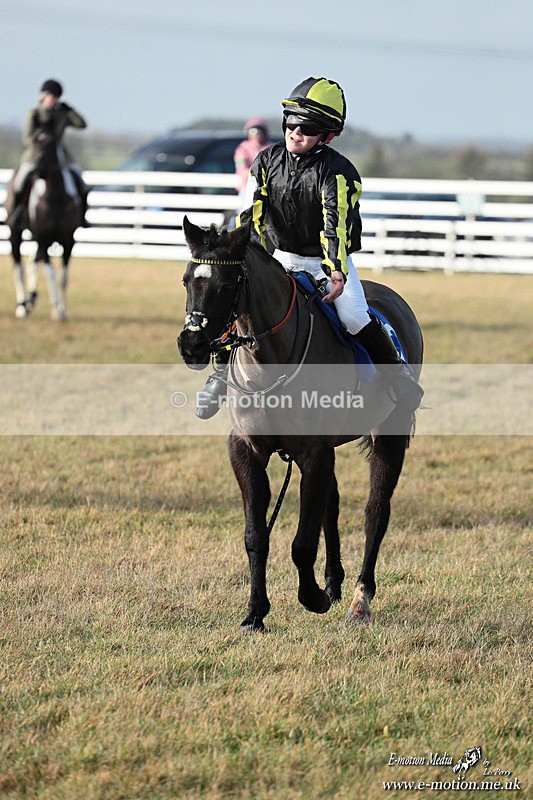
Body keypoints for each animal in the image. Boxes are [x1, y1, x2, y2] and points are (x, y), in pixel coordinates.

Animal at [4, 131, 83, 320]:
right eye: (34, 148)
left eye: (48, 150)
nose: (35, 173)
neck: (56, 198)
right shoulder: (44, 239)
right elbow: (51, 272)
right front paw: (56, 309)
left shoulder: (68, 241)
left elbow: (63, 276)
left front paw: (62, 310)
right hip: (15, 234)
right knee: (18, 268)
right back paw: (21, 306)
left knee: (32, 262)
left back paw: (31, 298)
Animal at [177, 216, 424, 632]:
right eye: (186, 281)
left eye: (226, 285)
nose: (190, 345)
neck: (270, 362)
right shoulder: (247, 450)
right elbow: (256, 536)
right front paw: (255, 612)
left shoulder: (313, 452)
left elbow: (302, 543)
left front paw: (312, 597)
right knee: (332, 504)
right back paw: (334, 582)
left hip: (388, 434)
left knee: (376, 512)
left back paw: (359, 598)